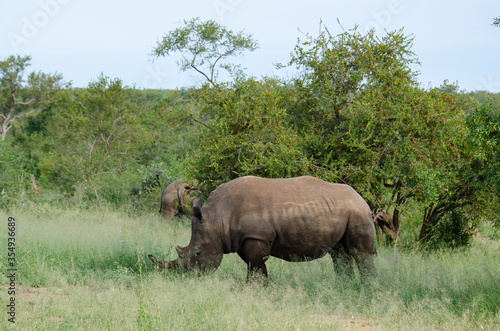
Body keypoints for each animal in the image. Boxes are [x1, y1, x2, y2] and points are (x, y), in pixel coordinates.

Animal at [150, 176, 376, 280]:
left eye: (197, 253)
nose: (187, 277)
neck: (217, 219)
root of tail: (360, 197)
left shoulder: (256, 237)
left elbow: (255, 266)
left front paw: (252, 291)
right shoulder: (244, 238)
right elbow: (256, 267)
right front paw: (261, 291)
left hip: (358, 213)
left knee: (361, 254)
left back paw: (366, 288)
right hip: (343, 211)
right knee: (340, 254)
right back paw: (344, 285)